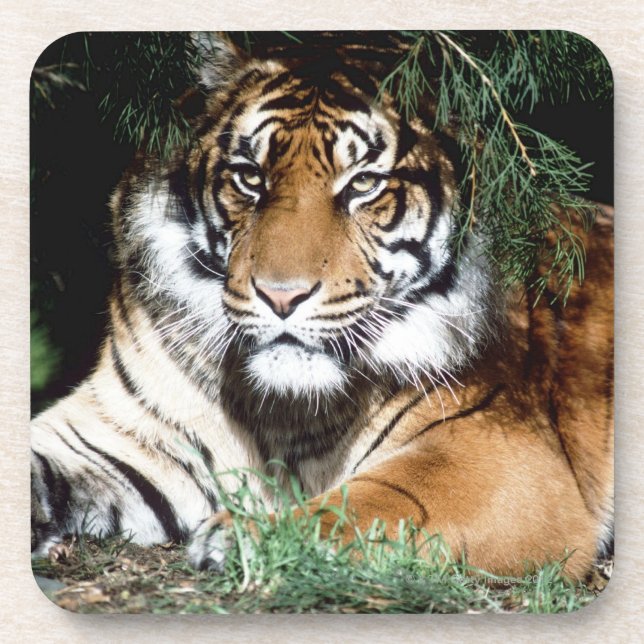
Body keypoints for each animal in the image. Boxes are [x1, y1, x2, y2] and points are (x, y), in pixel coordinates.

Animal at [31, 32, 613, 582]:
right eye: (250, 177)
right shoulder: (117, 431)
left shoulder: (499, 458)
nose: (281, 295)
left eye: (363, 184)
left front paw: (244, 537)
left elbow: (376, 503)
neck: (280, 410)